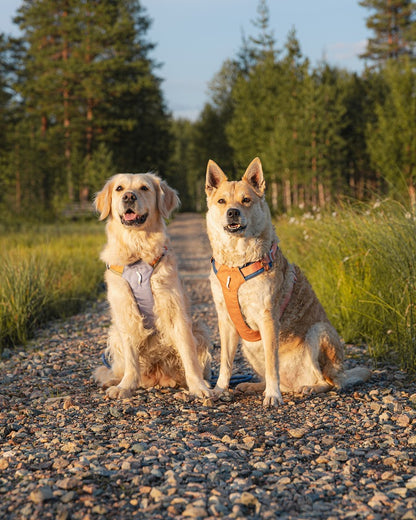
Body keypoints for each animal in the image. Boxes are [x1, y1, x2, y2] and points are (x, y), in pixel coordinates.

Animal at [93, 173, 211, 400]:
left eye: (144, 188)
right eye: (119, 188)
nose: (129, 197)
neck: (137, 251)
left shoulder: (174, 309)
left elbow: (188, 355)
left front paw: (198, 386)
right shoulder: (125, 311)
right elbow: (131, 360)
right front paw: (125, 387)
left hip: (200, 329)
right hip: (114, 334)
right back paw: (114, 381)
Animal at [205, 156, 370, 408]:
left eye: (246, 200)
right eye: (222, 201)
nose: (232, 212)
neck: (237, 263)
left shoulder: (268, 318)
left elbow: (272, 363)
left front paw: (272, 396)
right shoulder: (225, 320)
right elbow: (225, 362)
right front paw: (221, 389)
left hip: (319, 332)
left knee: (328, 382)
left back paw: (308, 388)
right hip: (249, 347)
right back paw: (252, 386)